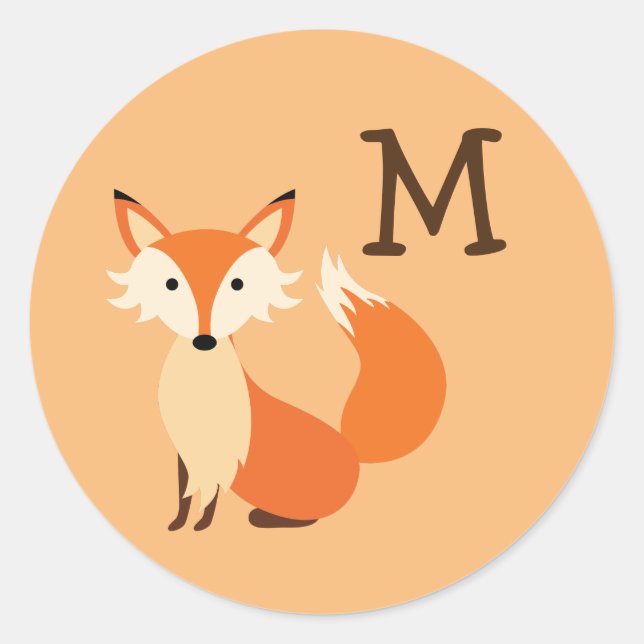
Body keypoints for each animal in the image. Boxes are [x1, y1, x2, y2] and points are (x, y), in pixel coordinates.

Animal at [108, 188, 446, 530]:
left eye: (238, 284)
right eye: (170, 284)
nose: (205, 340)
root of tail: (354, 453)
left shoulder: (222, 456)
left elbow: (209, 498)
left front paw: (201, 525)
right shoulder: (186, 454)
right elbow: (183, 495)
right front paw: (178, 525)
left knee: (310, 518)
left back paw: (265, 518)